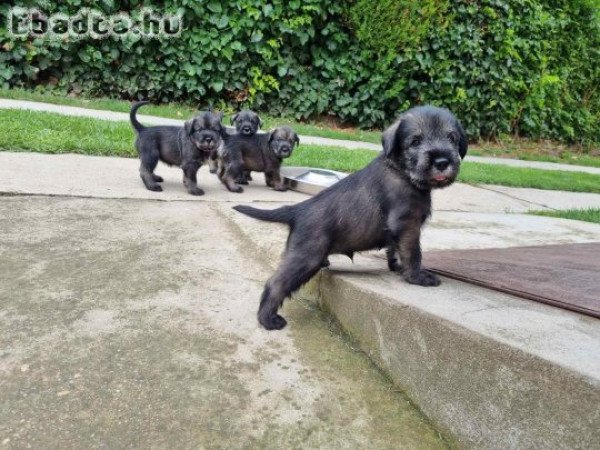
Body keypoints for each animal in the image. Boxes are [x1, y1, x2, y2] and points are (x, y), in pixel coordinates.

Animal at [234, 105, 468, 330]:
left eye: (452, 138)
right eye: (416, 141)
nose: (442, 161)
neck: (401, 170)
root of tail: (298, 210)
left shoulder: (398, 229)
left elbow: (395, 249)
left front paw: (397, 267)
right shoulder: (407, 224)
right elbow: (413, 253)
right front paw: (417, 276)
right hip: (306, 257)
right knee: (275, 284)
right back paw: (268, 319)